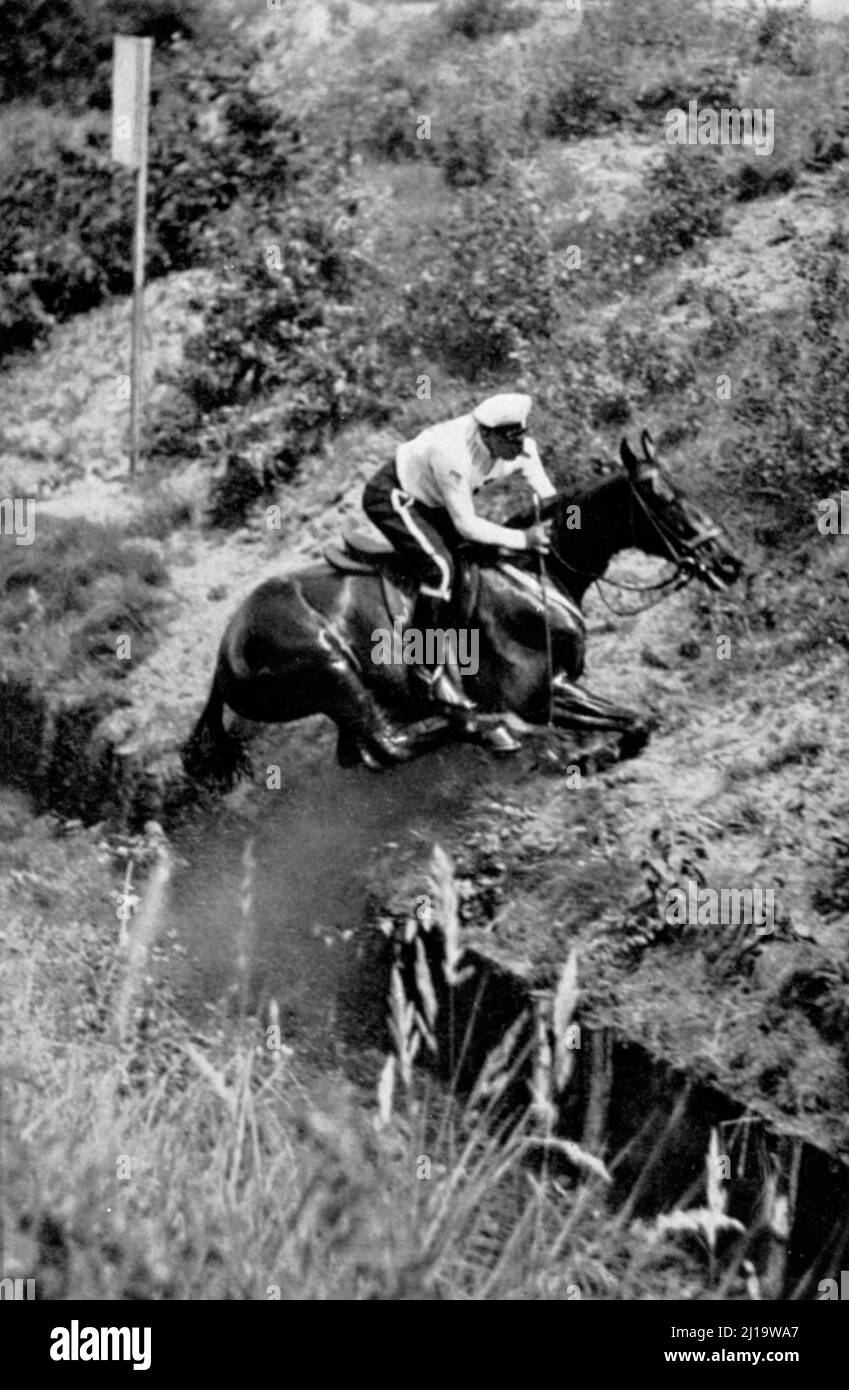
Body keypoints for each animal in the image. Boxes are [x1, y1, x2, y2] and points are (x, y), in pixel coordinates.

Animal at [186, 430, 744, 783]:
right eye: (664, 500)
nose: (730, 562)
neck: (536, 570)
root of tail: (223, 653)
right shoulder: (540, 694)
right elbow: (635, 722)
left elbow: (638, 725)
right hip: (332, 669)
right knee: (387, 744)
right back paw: (487, 729)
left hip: (342, 702)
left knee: (365, 754)